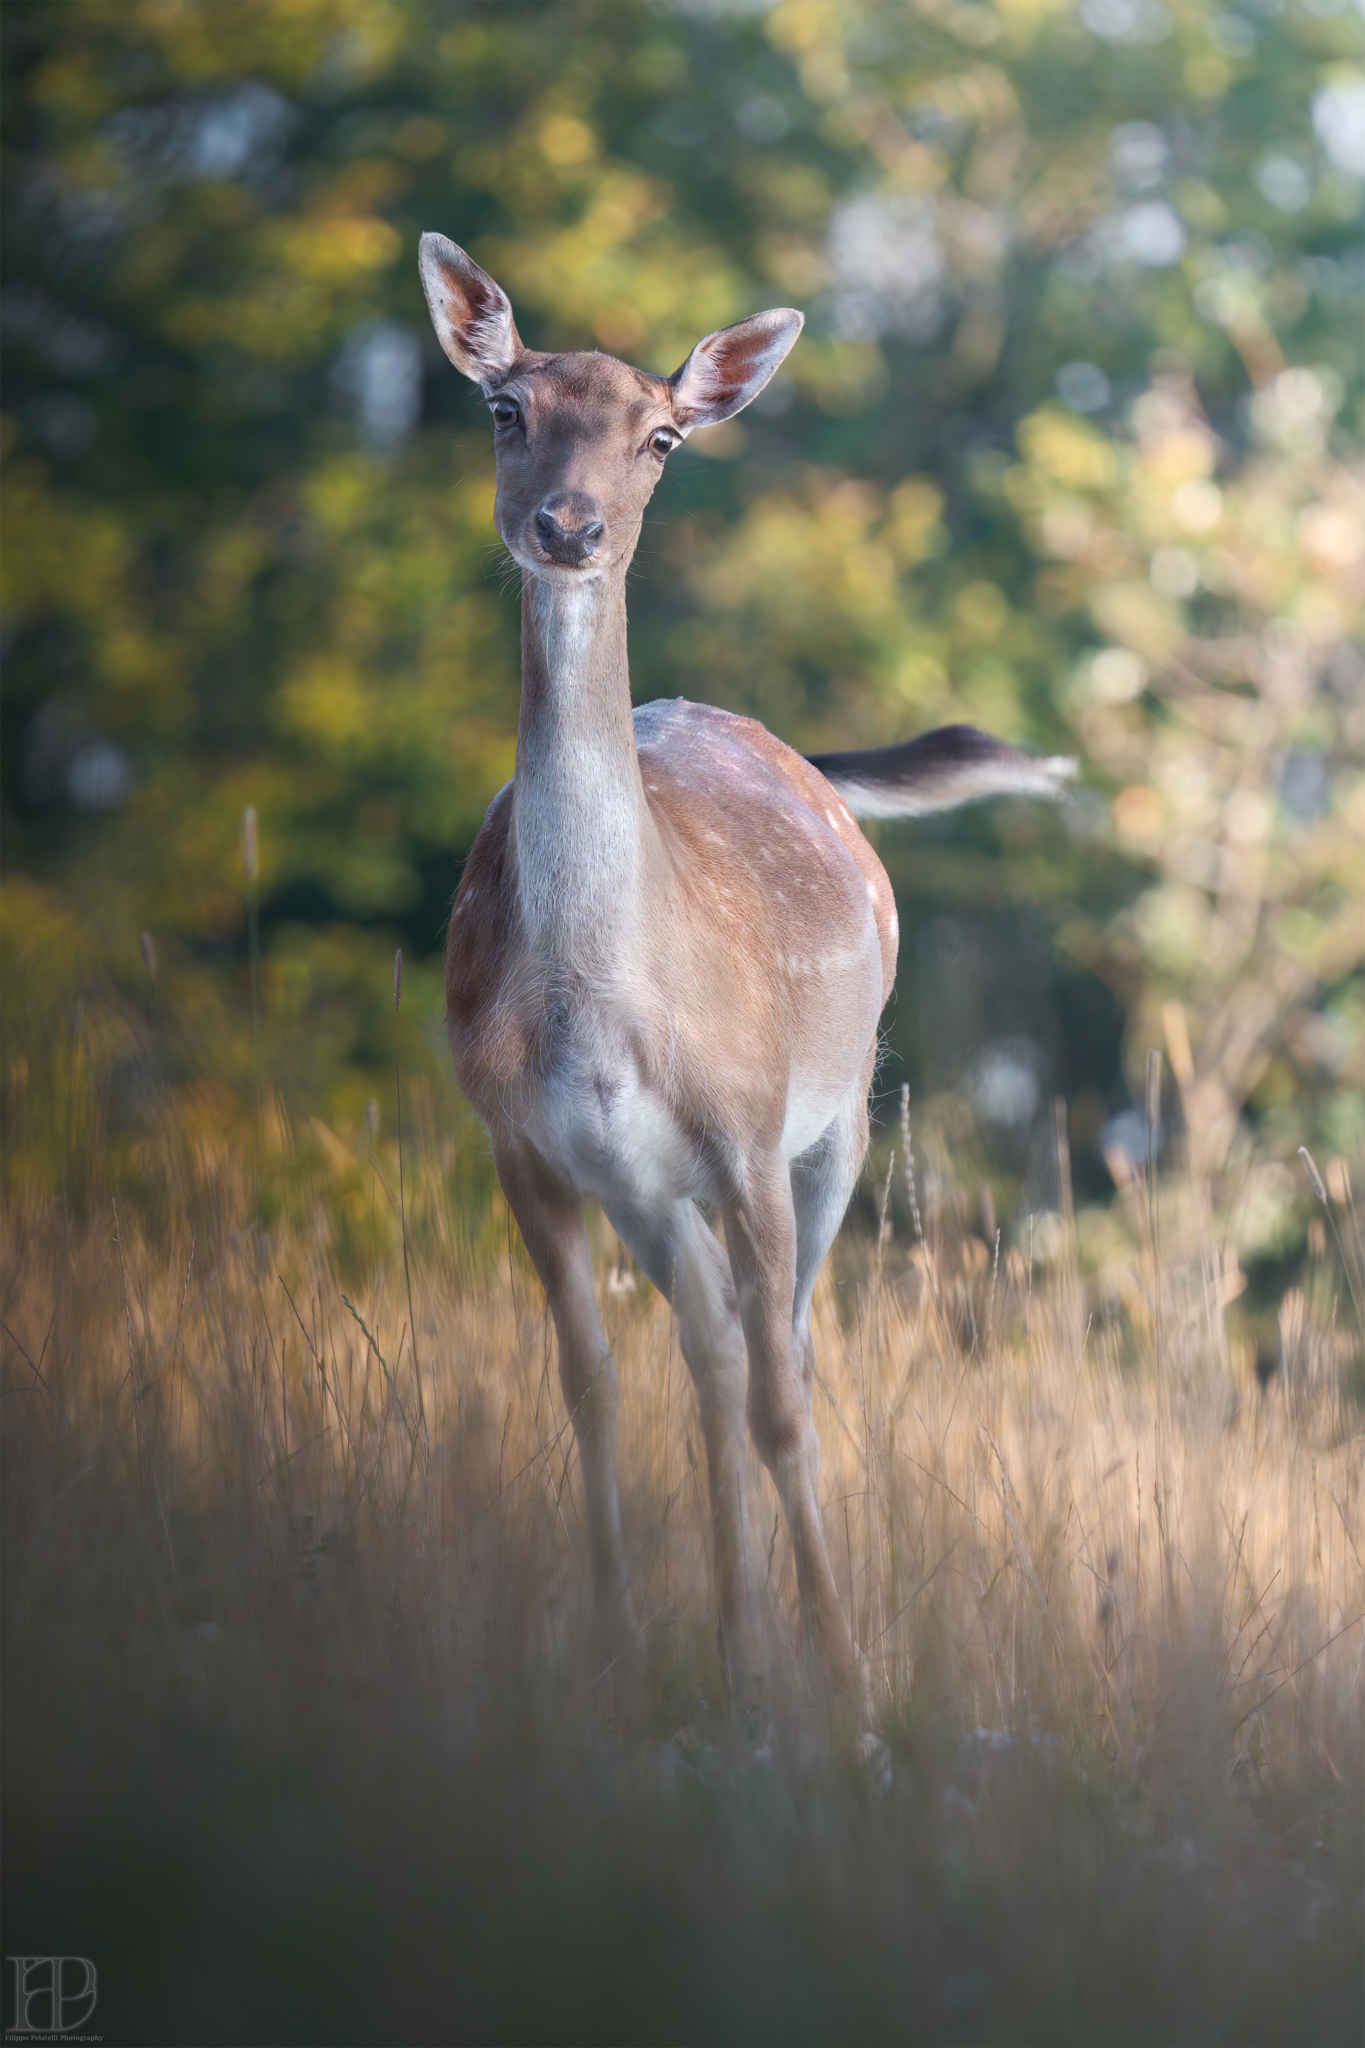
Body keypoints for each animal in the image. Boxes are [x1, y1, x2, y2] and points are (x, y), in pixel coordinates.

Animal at [418, 232, 1073, 1707]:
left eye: (661, 437)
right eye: (505, 409)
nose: (568, 527)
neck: (603, 1003)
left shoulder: (748, 1128)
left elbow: (784, 1407)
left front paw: (849, 1693)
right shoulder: (522, 1141)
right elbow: (591, 1381)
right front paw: (617, 1649)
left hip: (842, 1122)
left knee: (790, 1350)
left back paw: (778, 1641)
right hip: (650, 1186)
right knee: (709, 1341)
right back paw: (734, 1633)